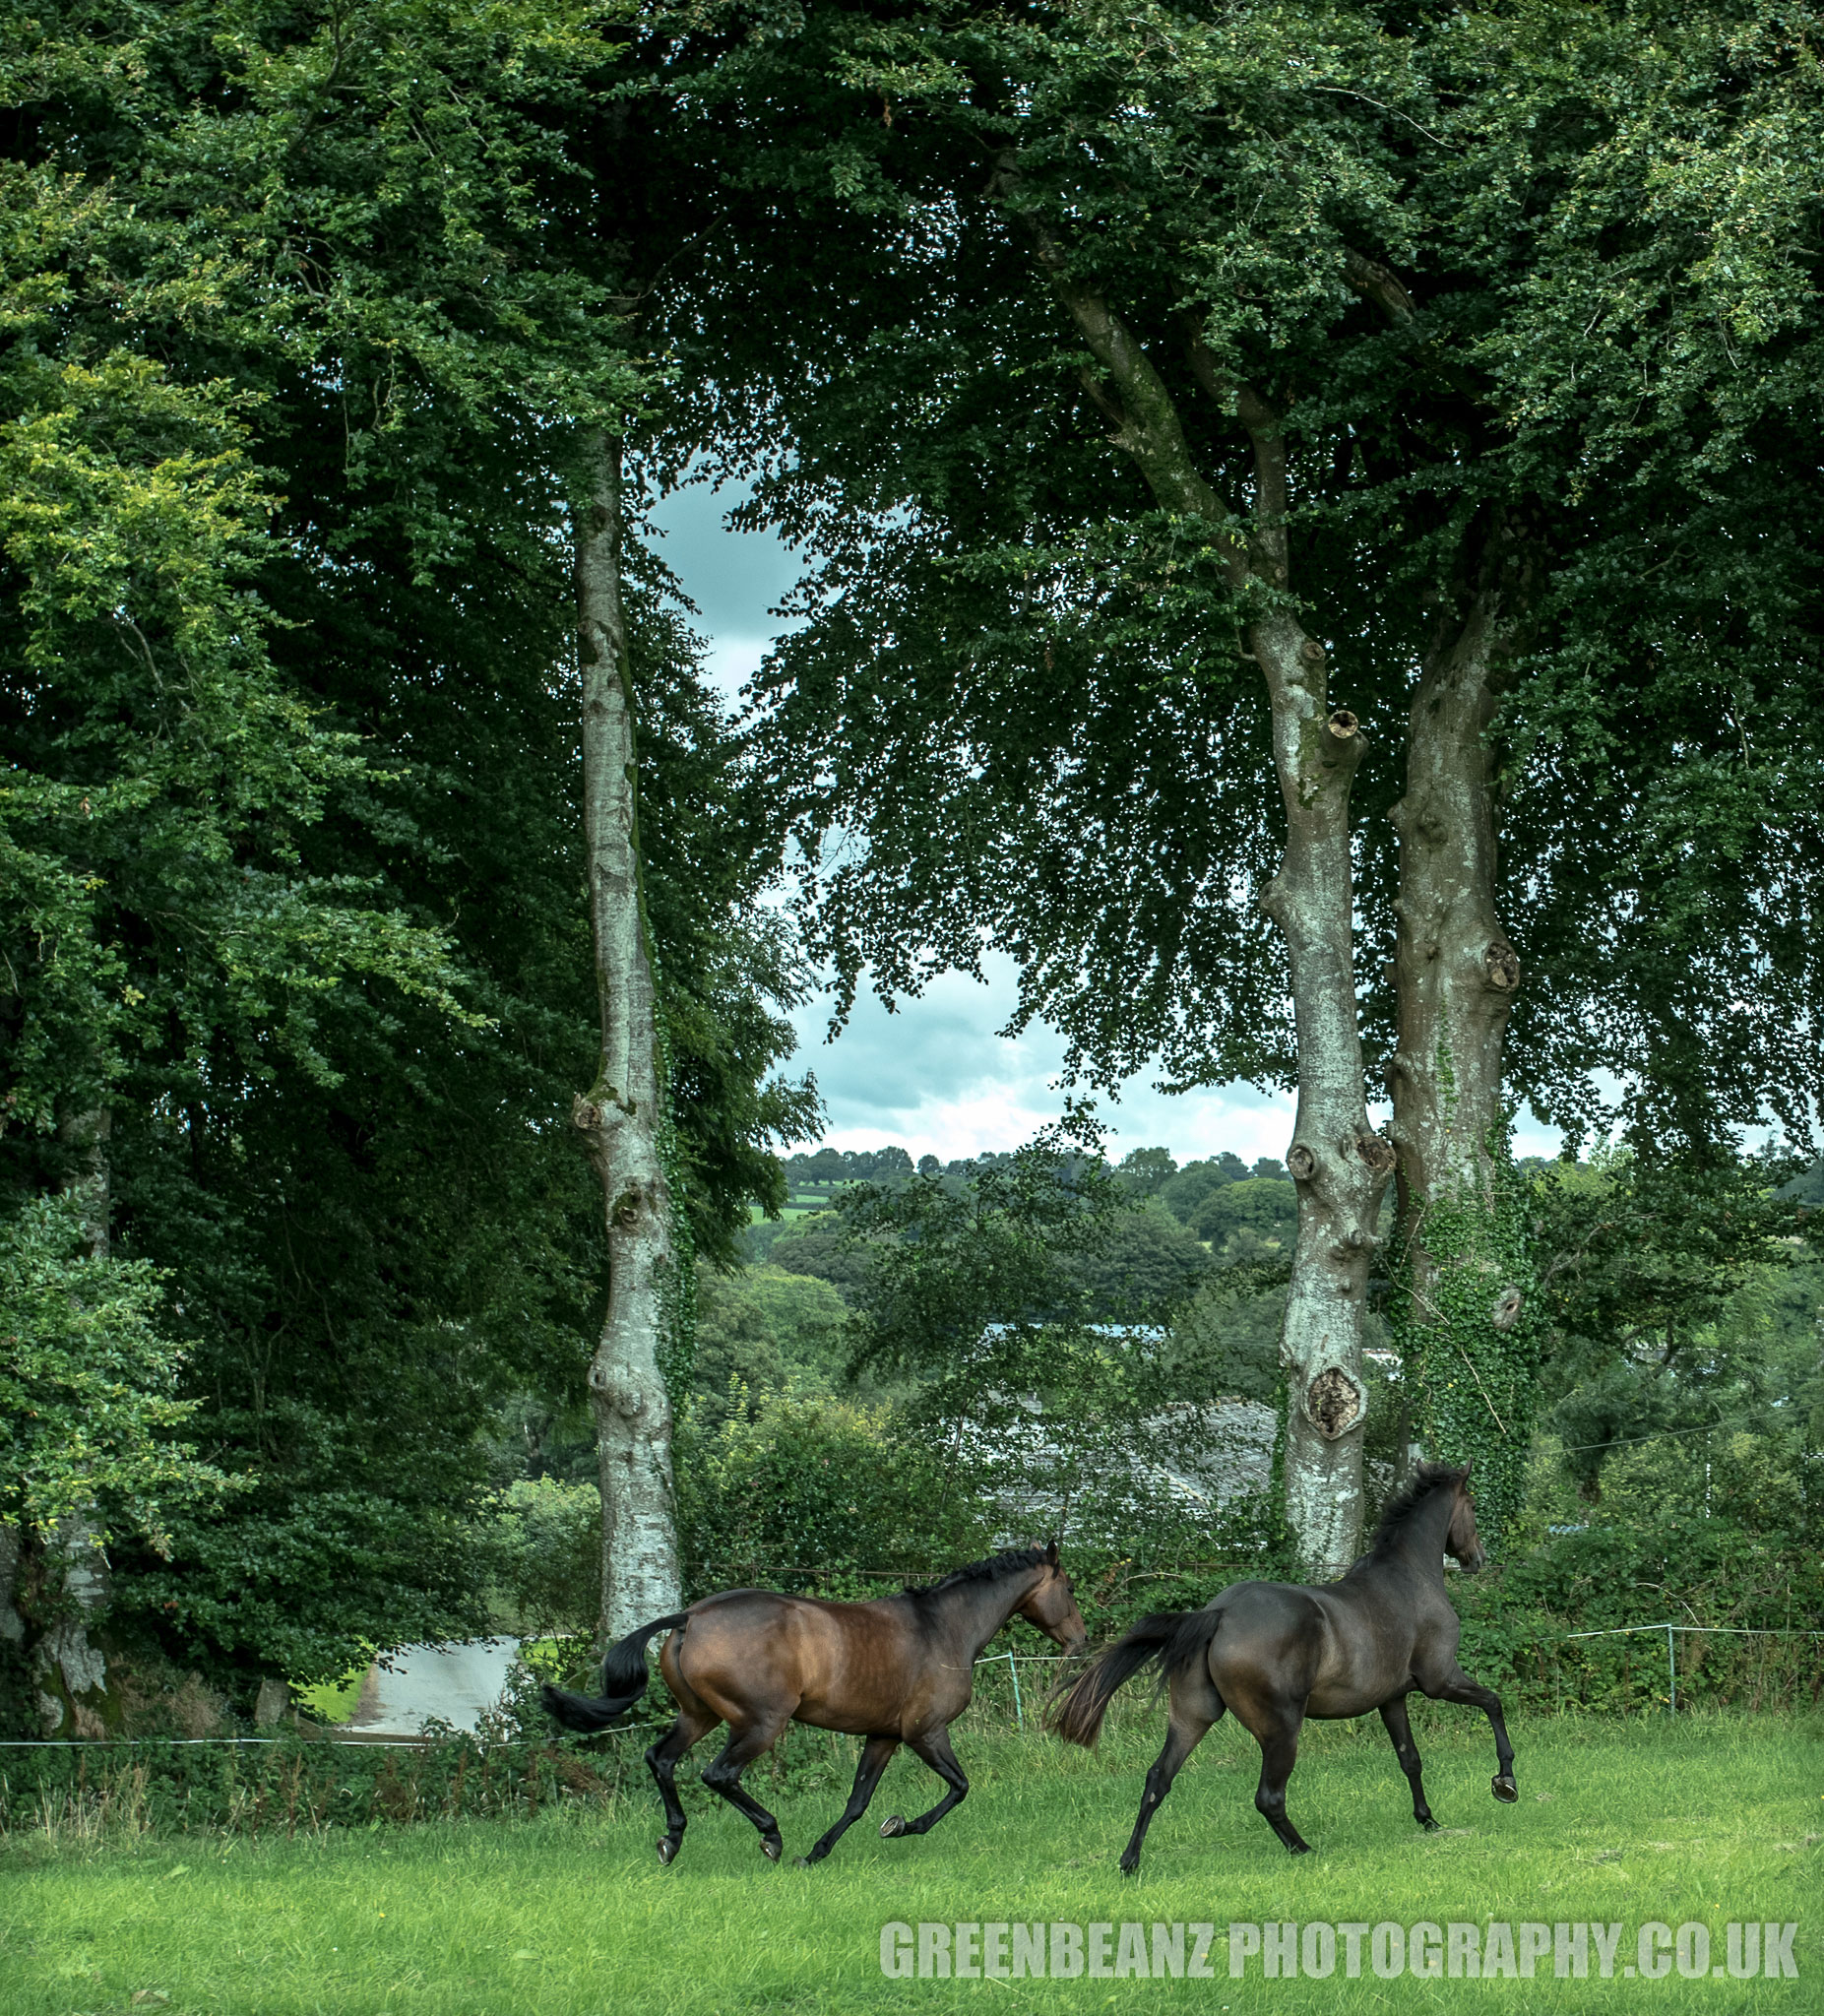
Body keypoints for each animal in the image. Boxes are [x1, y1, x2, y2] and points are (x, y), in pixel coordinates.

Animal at [539, 1547, 1080, 1862]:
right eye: (1069, 1587)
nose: (1080, 1639)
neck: (944, 1628)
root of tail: (690, 1617)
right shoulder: (925, 1733)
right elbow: (959, 1788)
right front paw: (902, 1827)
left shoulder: (883, 1736)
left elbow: (858, 1801)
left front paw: (819, 1852)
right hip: (761, 1723)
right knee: (718, 1775)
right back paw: (770, 1836)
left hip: (699, 1715)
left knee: (661, 1759)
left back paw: (672, 1840)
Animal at [1047, 1459, 1515, 1862]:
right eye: (1473, 1505)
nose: (1478, 1559)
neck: (1409, 1576)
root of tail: (1218, 1614)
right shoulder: (1440, 1680)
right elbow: (1493, 1703)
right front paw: (1505, 1783)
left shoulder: (1392, 1699)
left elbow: (1410, 1759)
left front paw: (1428, 1820)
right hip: (1282, 1728)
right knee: (1268, 1796)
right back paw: (1303, 1849)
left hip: (1192, 1718)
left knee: (1157, 1779)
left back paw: (1129, 1861)